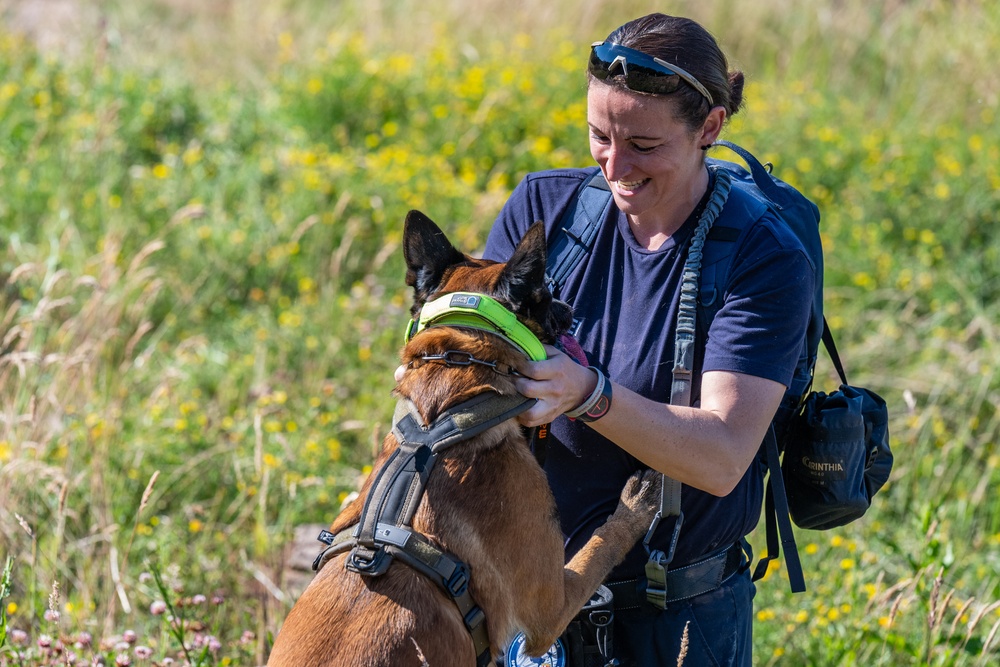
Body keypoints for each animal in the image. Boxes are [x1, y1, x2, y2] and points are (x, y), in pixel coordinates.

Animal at [264, 211, 664, 664]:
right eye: (544, 294)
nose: (567, 306)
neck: (447, 410)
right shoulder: (547, 615)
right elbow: (600, 545)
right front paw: (634, 506)